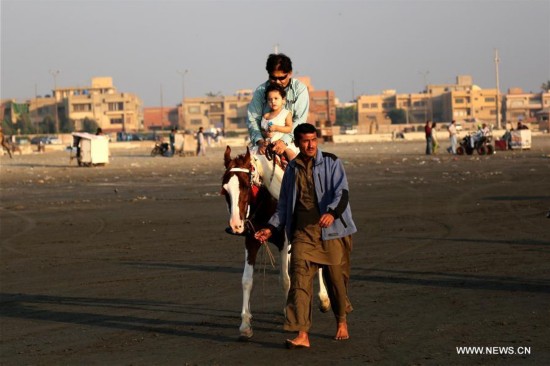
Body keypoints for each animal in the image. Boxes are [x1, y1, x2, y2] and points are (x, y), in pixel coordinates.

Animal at [221, 146, 332, 340]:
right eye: (225, 189)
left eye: (245, 185)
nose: (235, 225)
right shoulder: (251, 240)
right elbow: (247, 280)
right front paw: (245, 325)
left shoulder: (283, 241)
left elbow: (285, 279)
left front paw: (291, 317)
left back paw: (324, 300)